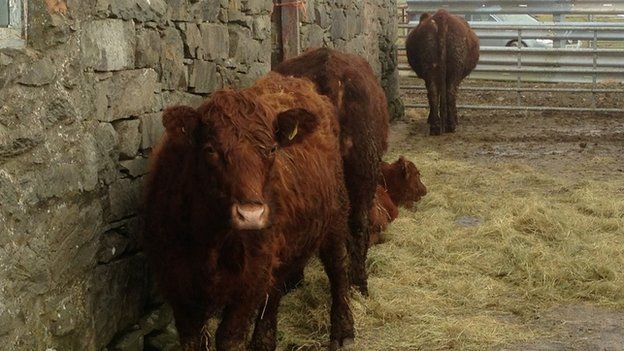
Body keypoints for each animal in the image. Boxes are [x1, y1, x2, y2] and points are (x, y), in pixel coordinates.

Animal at [143, 72, 354, 351]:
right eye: (210, 149)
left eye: (272, 149)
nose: (251, 214)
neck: (211, 238)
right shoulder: (178, 287)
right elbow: (193, 340)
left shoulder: (248, 284)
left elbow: (229, 337)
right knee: (275, 290)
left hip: (336, 215)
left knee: (337, 266)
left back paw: (343, 330)